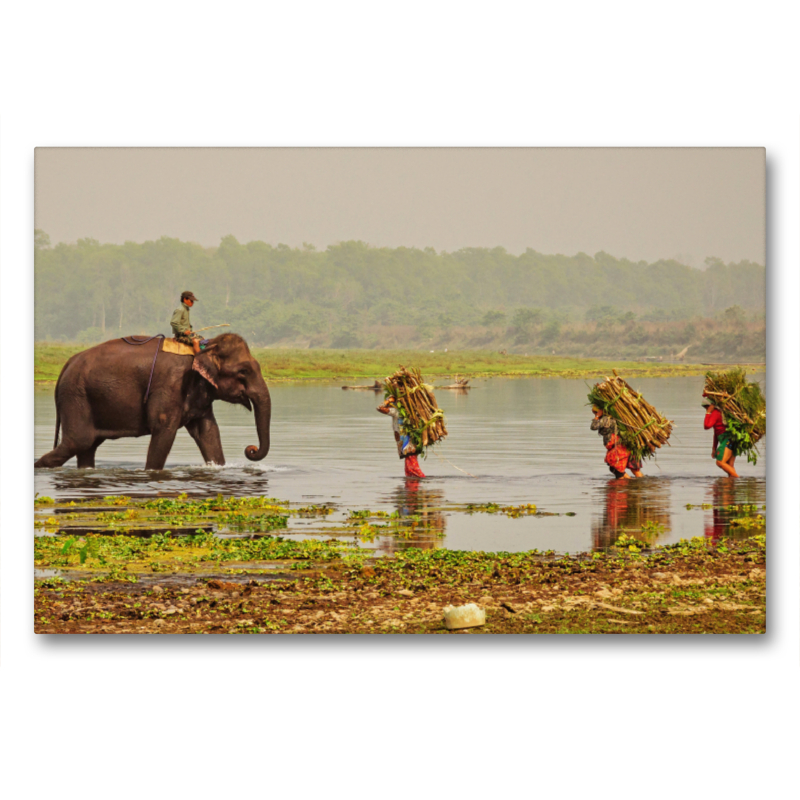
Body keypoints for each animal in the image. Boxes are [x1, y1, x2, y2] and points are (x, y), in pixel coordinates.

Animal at [33, 332, 272, 468]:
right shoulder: (170, 385)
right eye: (244, 371)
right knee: (78, 441)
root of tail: (66, 365)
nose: (250, 449)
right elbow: (164, 430)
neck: (205, 346)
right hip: (75, 396)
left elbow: (208, 432)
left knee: (87, 447)